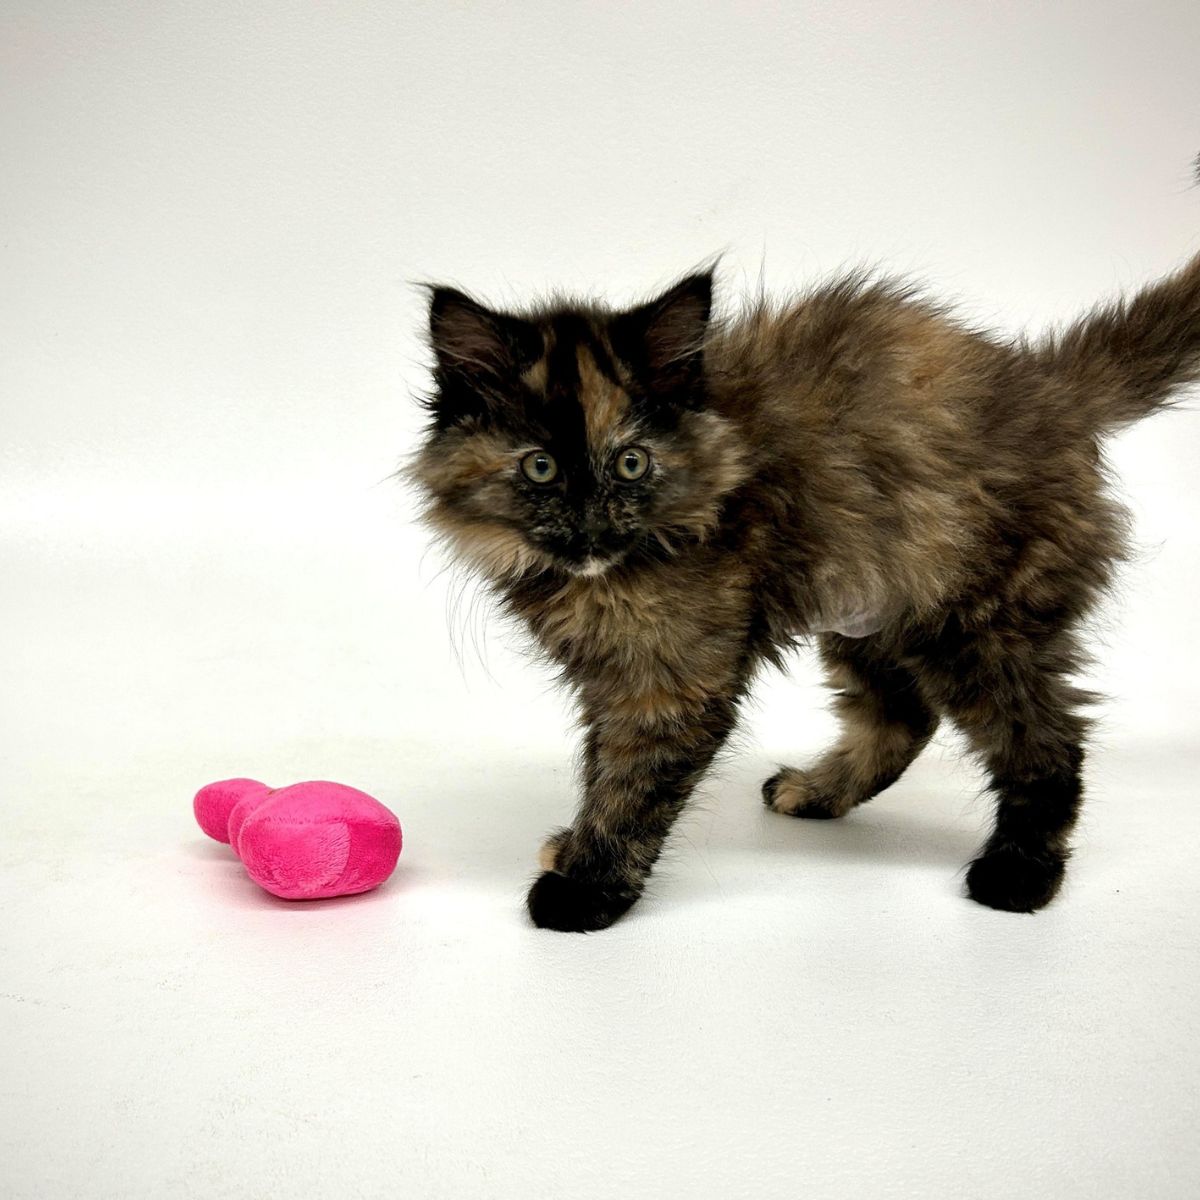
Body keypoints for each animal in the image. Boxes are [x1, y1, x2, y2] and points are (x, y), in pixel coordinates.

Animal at [410, 246, 1200, 936]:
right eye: (540, 468)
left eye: (632, 464)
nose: (591, 523)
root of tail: (1049, 390)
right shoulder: (615, 678)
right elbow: (599, 767)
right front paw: (574, 849)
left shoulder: (669, 685)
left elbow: (630, 787)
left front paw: (585, 890)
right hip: (875, 618)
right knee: (903, 717)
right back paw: (819, 793)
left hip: (976, 627)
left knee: (1049, 743)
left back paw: (1020, 874)